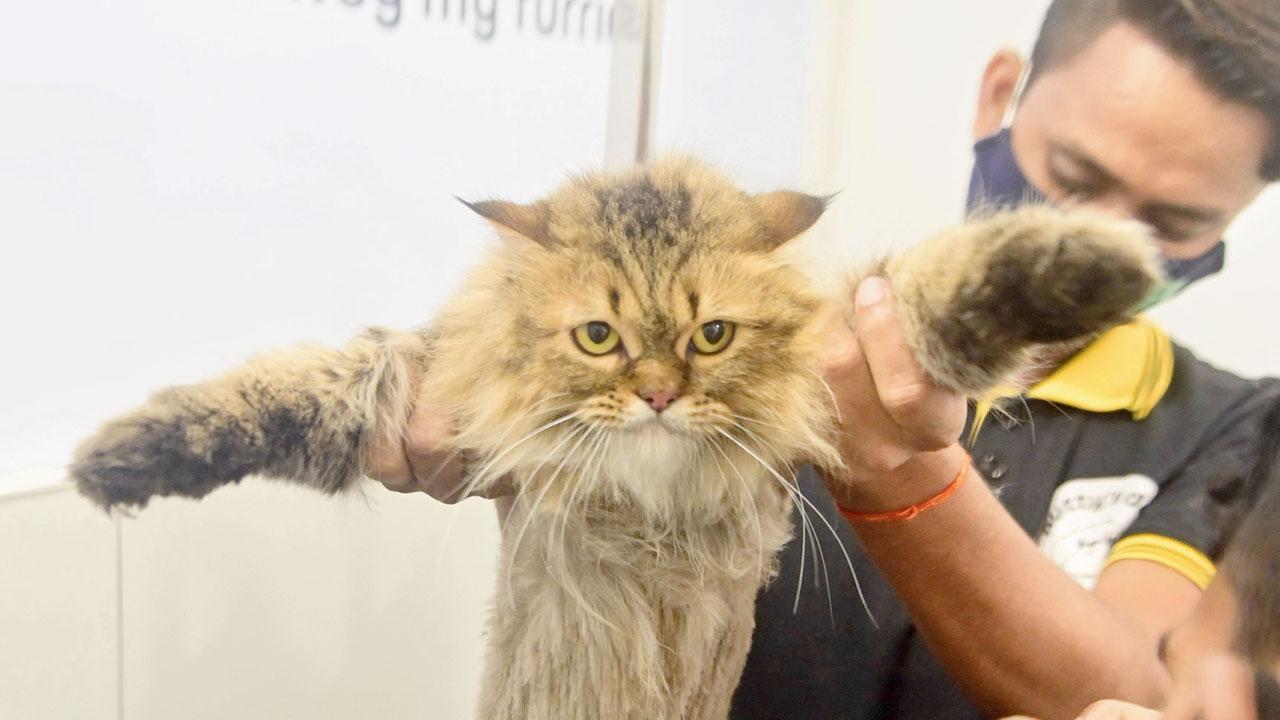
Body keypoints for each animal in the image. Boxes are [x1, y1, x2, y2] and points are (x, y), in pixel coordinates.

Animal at [70, 154, 1162, 712]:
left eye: (711, 337)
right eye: (598, 337)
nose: (658, 397)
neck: (651, 503)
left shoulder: (847, 352)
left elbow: (940, 290)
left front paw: (1079, 267)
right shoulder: (420, 380)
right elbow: (292, 388)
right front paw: (119, 460)